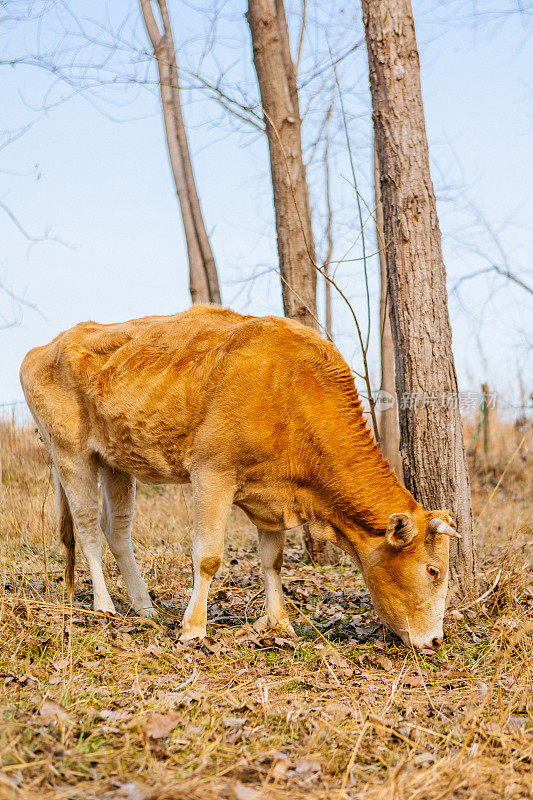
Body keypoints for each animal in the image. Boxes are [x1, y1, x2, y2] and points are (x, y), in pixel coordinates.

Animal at [21, 306, 458, 648]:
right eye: (432, 570)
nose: (436, 640)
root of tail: (48, 345)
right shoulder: (212, 473)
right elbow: (208, 557)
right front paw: (193, 629)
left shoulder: (272, 497)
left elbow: (273, 560)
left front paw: (279, 624)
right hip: (71, 453)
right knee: (87, 529)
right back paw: (105, 606)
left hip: (116, 460)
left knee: (117, 530)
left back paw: (144, 606)